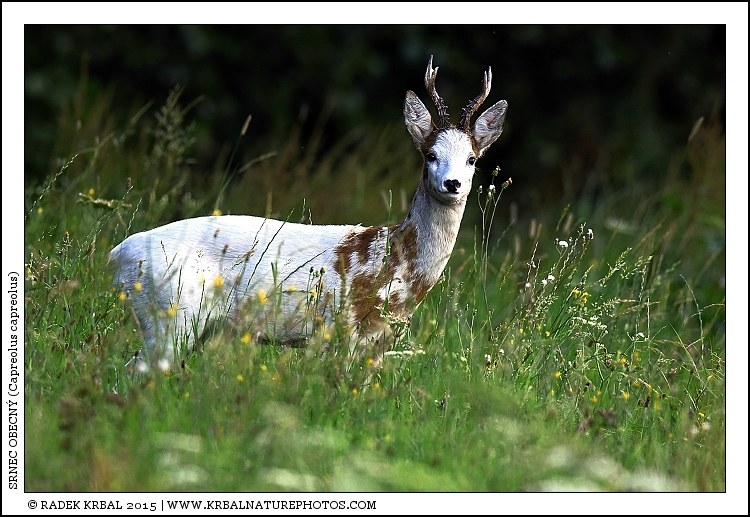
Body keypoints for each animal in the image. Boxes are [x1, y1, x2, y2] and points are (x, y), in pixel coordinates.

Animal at [109, 56, 507, 370]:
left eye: (472, 158)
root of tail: (117, 256)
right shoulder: (345, 326)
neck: (397, 265)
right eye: (431, 155)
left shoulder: (379, 341)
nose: (453, 183)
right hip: (172, 313)